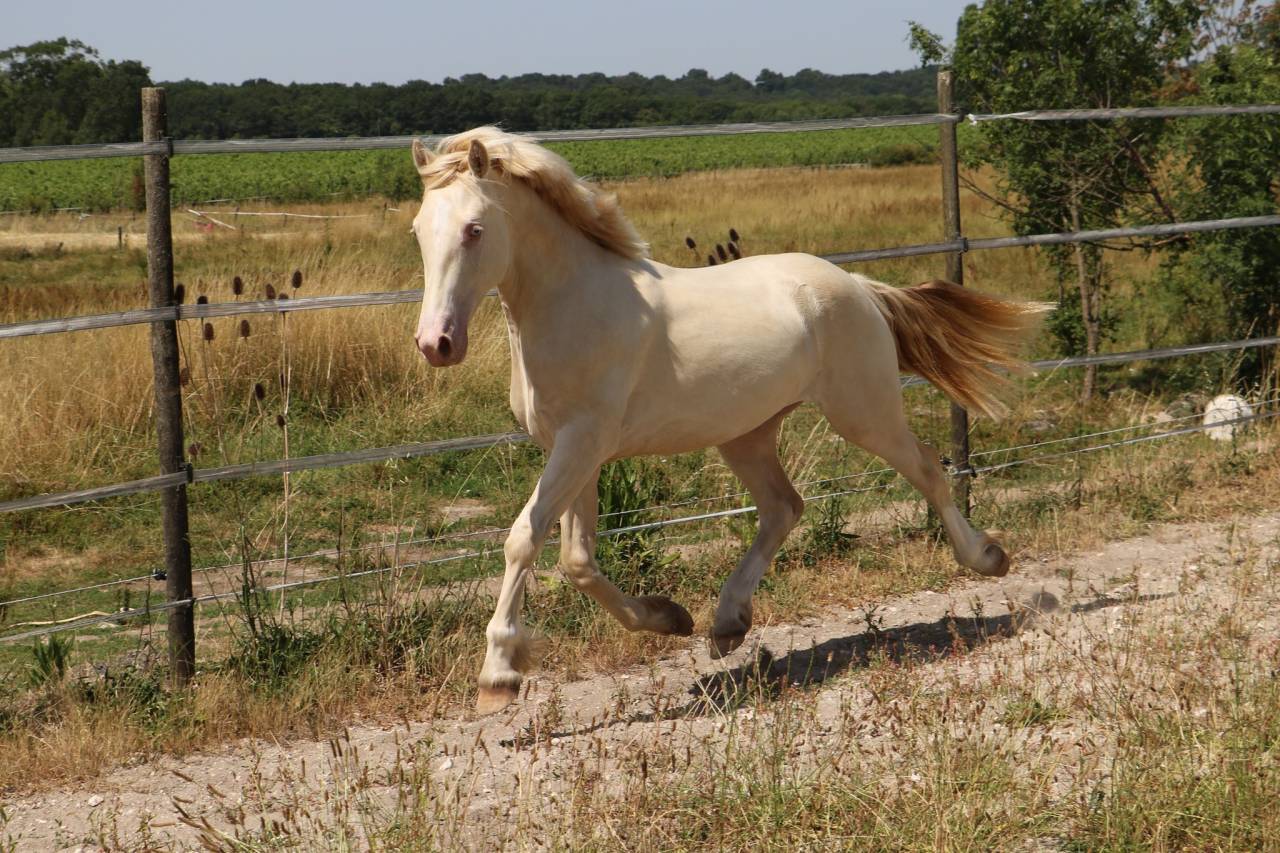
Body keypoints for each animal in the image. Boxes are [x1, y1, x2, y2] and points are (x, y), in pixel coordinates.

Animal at [408, 127, 1042, 714]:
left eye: (474, 229)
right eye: (417, 230)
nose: (436, 344)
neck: (574, 305)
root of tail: (859, 286)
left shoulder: (584, 441)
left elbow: (523, 539)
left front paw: (498, 675)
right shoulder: (574, 449)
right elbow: (577, 560)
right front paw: (668, 617)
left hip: (864, 411)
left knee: (928, 472)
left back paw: (987, 558)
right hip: (748, 434)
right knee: (784, 508)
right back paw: (726, 624)